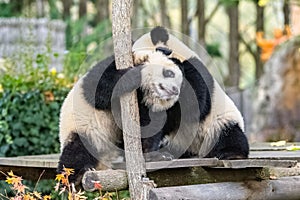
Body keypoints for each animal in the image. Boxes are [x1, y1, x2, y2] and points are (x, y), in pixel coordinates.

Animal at [57, 26, 250, 184]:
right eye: (167, 73)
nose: (173, 90)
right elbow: (97, 90)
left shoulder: (196, 75)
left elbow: (193, 105)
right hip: (86, 129)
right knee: (77, 151)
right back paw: (75, 176)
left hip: (214, 126)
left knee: (228, 133)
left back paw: (230, 153)